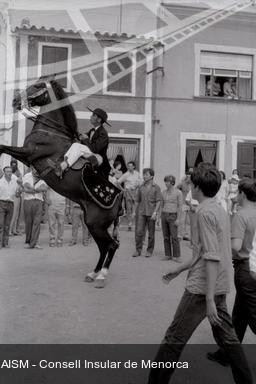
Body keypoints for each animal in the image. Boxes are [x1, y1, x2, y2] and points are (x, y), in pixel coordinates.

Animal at [0, 79, 122, 288]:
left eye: (37, 85)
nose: (15, 99)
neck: (51, 133)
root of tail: (120, 199)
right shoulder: (27, 158)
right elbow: (3, 148)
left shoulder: (28, 153)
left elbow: (1, 147)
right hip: (93, 225)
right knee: (103, 248)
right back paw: (93, 273)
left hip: (96, 225)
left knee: (112, 246)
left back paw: (101, 276)